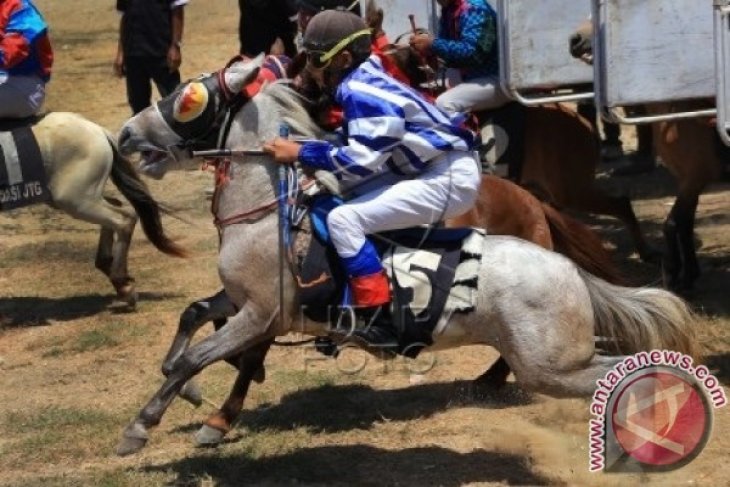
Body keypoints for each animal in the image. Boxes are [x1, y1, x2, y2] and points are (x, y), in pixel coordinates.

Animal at [3, 112, 185, 306]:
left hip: (75, 200)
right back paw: (112, 273)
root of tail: (98, 130)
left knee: (123, 218)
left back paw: (122, 284)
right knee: (116, 208)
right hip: (84, 196)